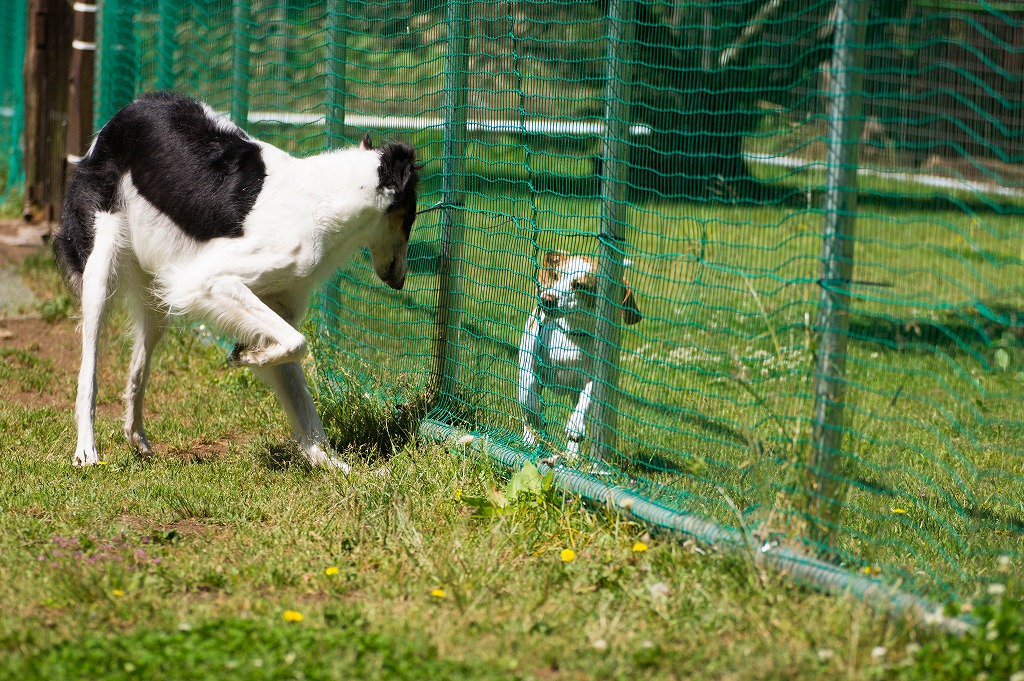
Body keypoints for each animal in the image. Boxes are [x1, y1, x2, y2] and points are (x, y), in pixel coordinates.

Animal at [50, 90, 419, 471]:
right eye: (411, 215)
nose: (400, 282)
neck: (322, 201)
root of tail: (129, 109)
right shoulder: (208, 281)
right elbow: (298, 343)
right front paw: (248, 357)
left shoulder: (277, 306)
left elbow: (302, 397)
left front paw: (338, 468)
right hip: (101, 268)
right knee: (89, 370)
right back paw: (86, 451)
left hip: (156, 298)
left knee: (139, 367)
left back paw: (137, 438)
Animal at [520, 249, 638, 462]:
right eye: (556, 276)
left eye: (579, 286)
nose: (547, 298)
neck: (571, 335)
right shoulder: (529, 359)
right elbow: (528, 395)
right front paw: (534, 418)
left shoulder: (596, 377)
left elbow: (586, 401)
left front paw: (575, 428)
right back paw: (529, 439)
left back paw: (572, 454)